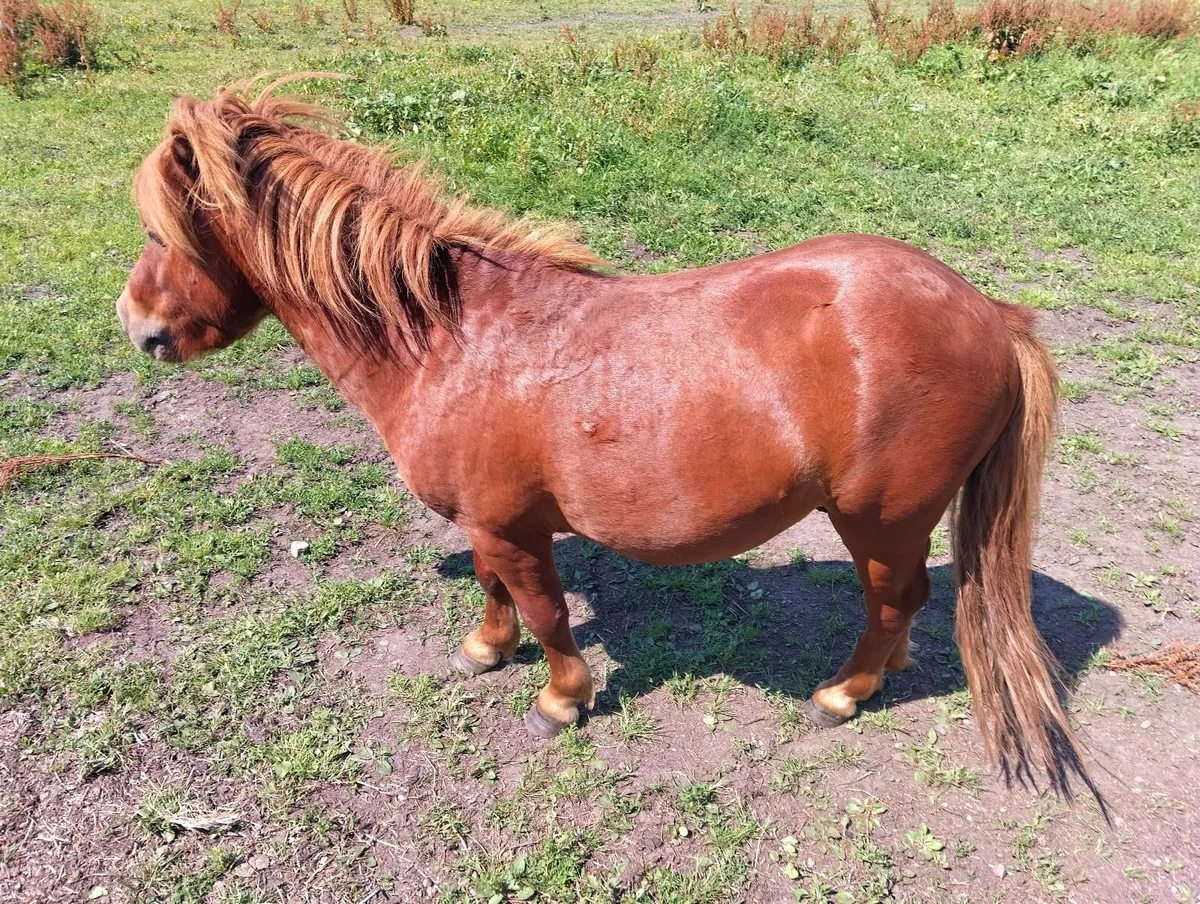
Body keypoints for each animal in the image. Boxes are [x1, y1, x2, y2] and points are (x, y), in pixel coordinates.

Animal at [116, 77, 1096, 798]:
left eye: (160, 230)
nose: (138, 327)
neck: (451, 339)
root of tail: (988, 313)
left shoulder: (513, 530)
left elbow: (549, 613)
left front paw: (561, 699)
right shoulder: (489, 525)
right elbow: (497, 594)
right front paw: (486, 649)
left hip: (881, 520)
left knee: (895, 601)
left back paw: (844, 693)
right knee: (904, 605)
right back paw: (882, 674)